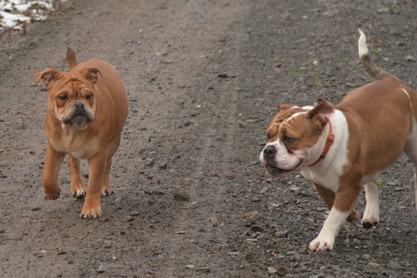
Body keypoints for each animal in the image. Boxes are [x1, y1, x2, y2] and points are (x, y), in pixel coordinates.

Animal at [33, 48, 128, 219]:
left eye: (88, 96)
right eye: (62, 97)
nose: (79, 105)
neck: (73, 130)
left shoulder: (98, 155)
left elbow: (94, 183)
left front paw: (91, 208)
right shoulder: (54, 148)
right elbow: (48, 175)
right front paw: (52, 193)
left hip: (112, 144)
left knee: (107, 165)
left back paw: (104, 186)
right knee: (73, 162)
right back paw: (77, 186)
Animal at [258, 29, 414, 251]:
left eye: (289, 139)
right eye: (268, 135)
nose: (268, 150)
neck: (327, 145)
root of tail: (394, 82)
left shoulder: (348, 187)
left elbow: (333, 215)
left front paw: (323, 239)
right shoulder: (321, 184)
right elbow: (332, 205)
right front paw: (352, 214)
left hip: (413, 146)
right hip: (371, 156)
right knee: (371, 182)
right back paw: (370, 214)